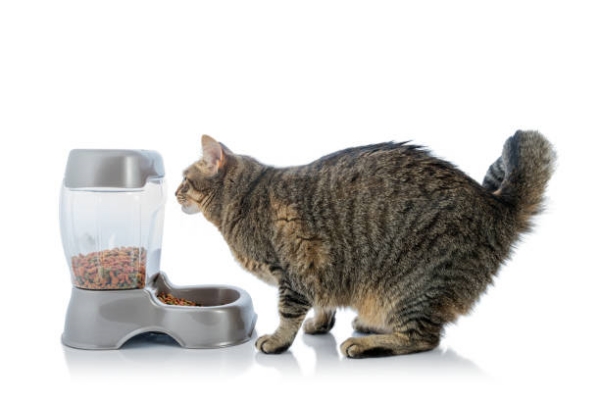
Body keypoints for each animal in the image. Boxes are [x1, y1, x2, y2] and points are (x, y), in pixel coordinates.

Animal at [177, 132, 552, 360]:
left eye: (184, 179)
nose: (176, 192)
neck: (244, 198)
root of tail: (495, 204)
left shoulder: (295, 269)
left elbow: (287, 313)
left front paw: (278, 340)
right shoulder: (318, 271)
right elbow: (322, 303)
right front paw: (319, 323)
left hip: (413, 284)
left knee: (423, 338)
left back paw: (365, 344)